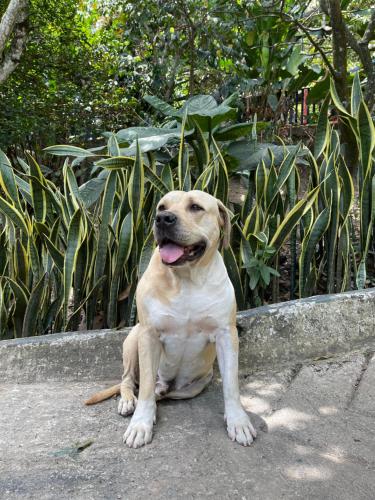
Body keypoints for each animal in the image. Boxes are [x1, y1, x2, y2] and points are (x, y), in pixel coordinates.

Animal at [86, 190, 258, 450]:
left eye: (196, 207)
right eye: (161, 207)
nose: (163, 219)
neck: (186, 279)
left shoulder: (226, 335)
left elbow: (231, 384)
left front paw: (238, 421)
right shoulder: (148, 335)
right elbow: (145, 388)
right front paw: (141, 424)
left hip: (194, 385)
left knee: (160, 393)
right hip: (133, 338)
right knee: (130, 381)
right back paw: (129, 401)